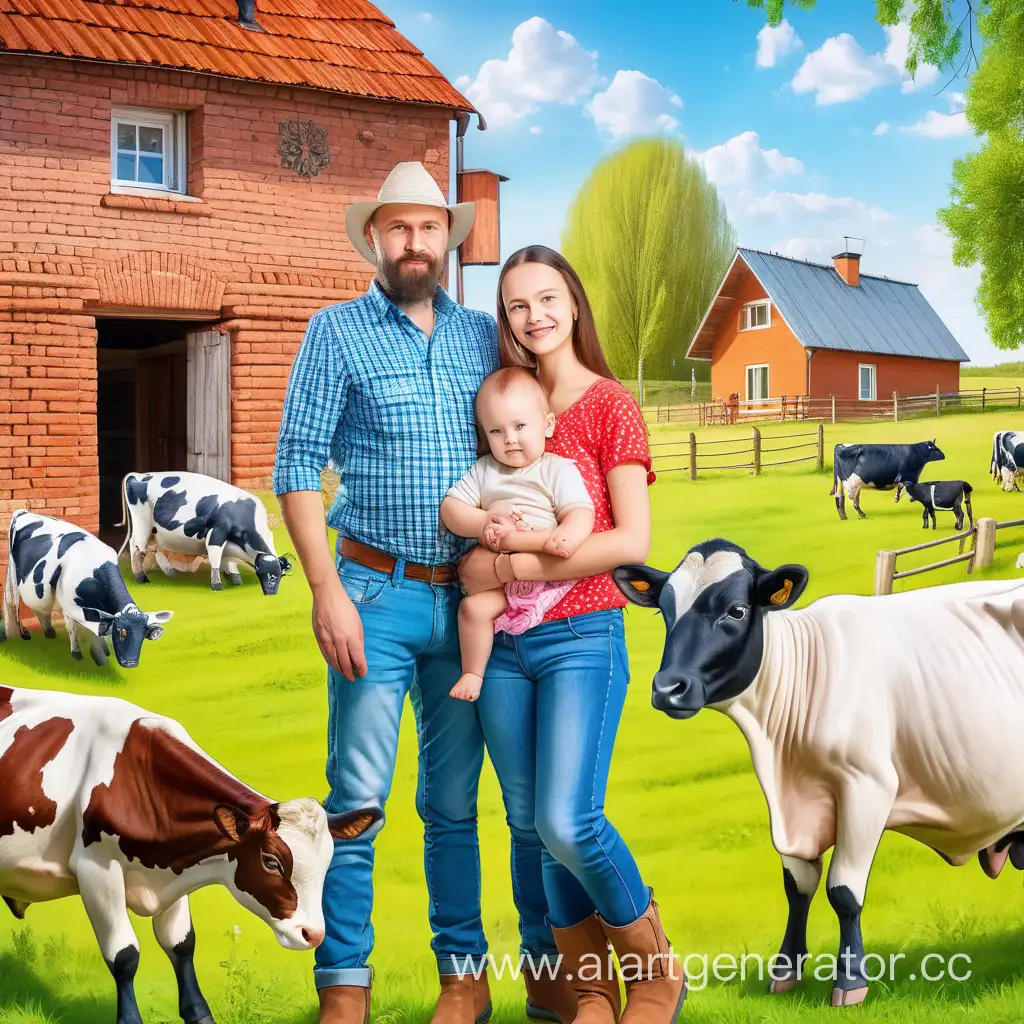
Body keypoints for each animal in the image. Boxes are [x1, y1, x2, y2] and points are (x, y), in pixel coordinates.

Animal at [0, 679, 380, 1024]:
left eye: (327, 864)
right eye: (271, 861)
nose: (313, 934)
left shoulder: (175, 868)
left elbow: (182, 944)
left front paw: (199, 1014)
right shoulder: (96, 871)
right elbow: (124, 956)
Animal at [2, 507, 172, 667]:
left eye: (143, 635)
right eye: (121, 632)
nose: (131, 663)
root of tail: (24, 512)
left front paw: (103, 650)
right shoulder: (67, 604)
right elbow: (72, 627)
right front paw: (77, 653)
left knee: (42, 609)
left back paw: (49, 632)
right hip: (12, 575)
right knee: (13, 603)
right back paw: (22, 633)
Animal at [122, 471, 296, 593]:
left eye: (279, 575)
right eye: (266, 575)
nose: (271, 593)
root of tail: (139, 475)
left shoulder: (228, 542)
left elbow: (228, 559)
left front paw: (234, 577)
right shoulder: (217, 533)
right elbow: (215, 559)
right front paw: (217, 585)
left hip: (156, 532)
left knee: (155, 548)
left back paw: (170, 573)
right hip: (142, 525)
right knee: (136, 547)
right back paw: (141, 577)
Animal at [610, 540, 1024, 1003]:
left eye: (736, 610)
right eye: (664, 610)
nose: (668, 688)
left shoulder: (868, 787)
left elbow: (843, 891)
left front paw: (851, 981)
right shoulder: (789, 801)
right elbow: (798, 886)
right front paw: (785, 971)